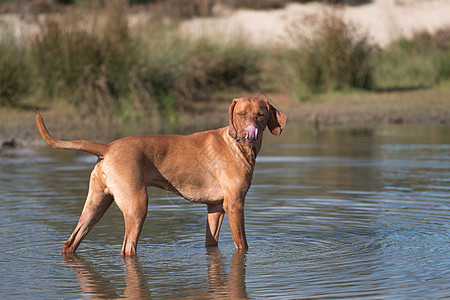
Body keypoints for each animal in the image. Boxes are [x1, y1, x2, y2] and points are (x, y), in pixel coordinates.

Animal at [37, 96, 286, 255]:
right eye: (240, 114)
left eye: (260, 115)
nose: (249, 133)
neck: (237, 146)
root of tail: (107, 148)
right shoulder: (234, 204)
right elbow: (242, 245)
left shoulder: (215, 208)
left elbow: (211, 242)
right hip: (136, 207)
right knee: (127, 249)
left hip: (96, 204)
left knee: (70, 243)